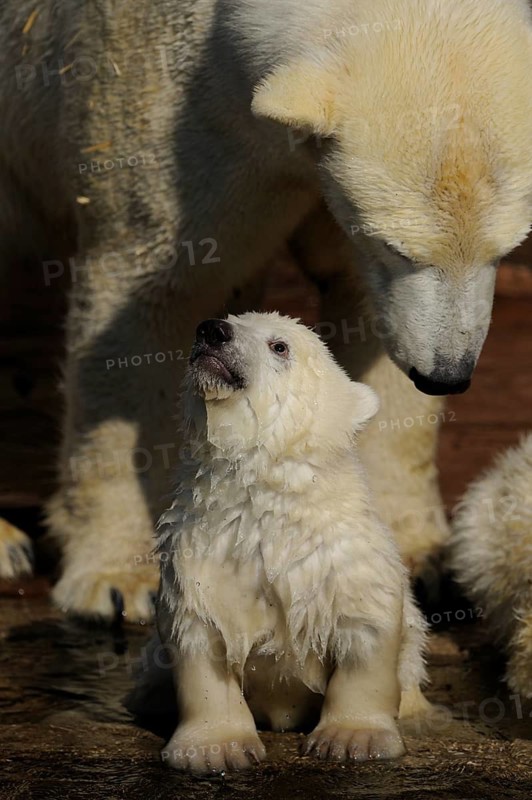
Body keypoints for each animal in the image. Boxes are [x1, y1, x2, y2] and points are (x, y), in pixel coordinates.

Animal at [1, 0, 532, 620]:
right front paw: (119, 579)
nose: (447, 375)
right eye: (397, 247)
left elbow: (371, 323)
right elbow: (150, 297)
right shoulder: (163, 99)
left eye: (508, 248)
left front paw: (416, 555)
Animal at [153, 312, 428, 772]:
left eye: (279, 346)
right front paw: (213, 750)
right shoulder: (202, 549)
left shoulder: (343, 558)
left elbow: (367, 633)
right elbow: (201, 630)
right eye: (231, 320)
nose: (213, 330)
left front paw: (352, 738)